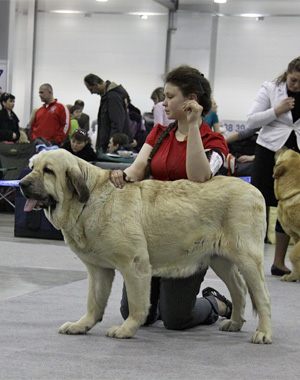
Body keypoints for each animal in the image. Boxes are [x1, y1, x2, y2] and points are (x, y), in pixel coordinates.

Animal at [18, 149, 272, 344]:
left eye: (48, 171)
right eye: (32, 166)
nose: (21, 183)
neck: (87, 202)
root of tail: (254, 190)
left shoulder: (135, 265)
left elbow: (136, 304)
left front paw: (126, 329)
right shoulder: (99, 270)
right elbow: (94, 303)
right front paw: (82, 325)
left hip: (247, 258)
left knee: (262, 296)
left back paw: (263, 333)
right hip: (221, 260)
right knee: (239, 288)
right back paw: (235, 322)